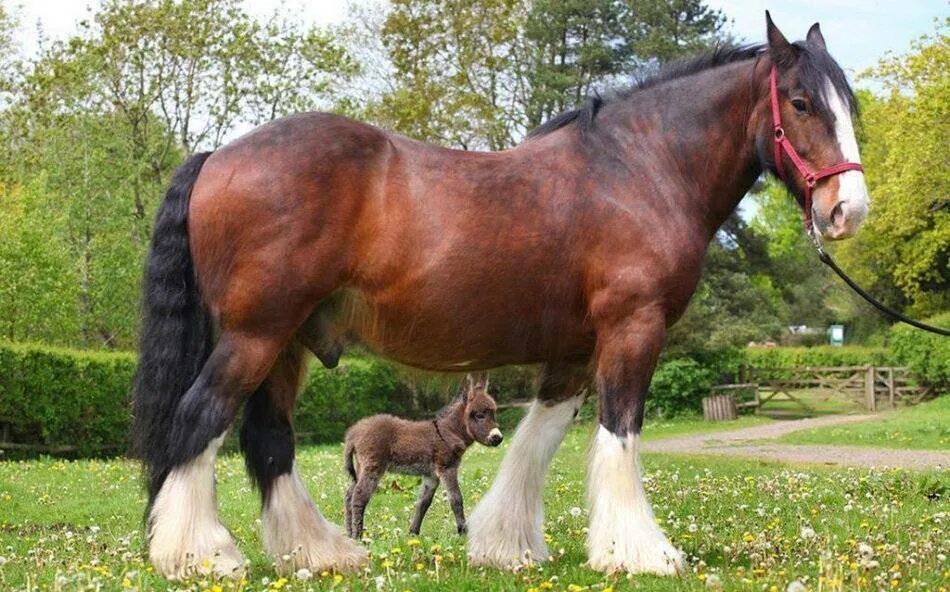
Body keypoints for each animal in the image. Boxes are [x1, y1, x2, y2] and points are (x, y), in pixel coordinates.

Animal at [344, 376, 506, 540]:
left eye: (493, 413)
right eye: (479, 415)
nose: (498, 438)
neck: (450, 431)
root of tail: (354, 432)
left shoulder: (431, 476)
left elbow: (423, 503)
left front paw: (413, 532)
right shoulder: (447, 468)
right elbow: (456, 499)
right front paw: (463, 532)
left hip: (361, 467)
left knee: (349, 495)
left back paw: (349, 534)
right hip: (373, 467)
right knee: (358, 496)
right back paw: (358, 536)